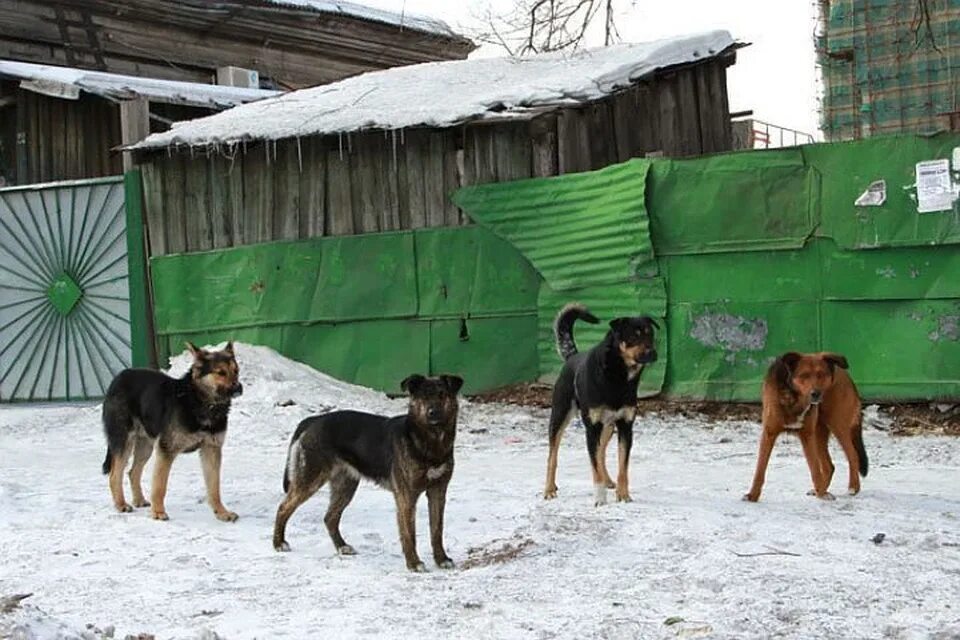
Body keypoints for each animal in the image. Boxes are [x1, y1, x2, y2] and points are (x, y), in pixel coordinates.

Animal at [100, 340, 244, 520]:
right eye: (221, 373)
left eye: (236, 371)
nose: (239, 388)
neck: (200, 401)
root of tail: (117, 379)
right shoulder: (166, 450)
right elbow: (160, 485)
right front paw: (158, 512)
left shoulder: (211, 449)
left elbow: (214, 487)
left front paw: (222, 512)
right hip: (124, 441)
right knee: (115, 475)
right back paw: (121, 505)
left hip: (145, 446)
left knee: (133, 472)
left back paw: (139, 500)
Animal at [272, 372, 464, 572]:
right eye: (423, 396)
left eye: (442, 395)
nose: (432, 412)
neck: (430, 441)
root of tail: (313, 420)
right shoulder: (406, 496)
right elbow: (409, 534)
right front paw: (413, 563)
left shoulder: (438, 491)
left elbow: (437, 530)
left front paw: (441, 559)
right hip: (310, 480)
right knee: (283, 507)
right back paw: (279, 543)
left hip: (345, 486)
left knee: (329, 517)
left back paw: (342, 546)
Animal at [544, 302, 656, 508]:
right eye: (634, 336)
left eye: (650, 334)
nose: (652, 353)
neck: (618, 377)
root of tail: (572, 357)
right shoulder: (592, 428)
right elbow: (593, 466)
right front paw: (600, 500)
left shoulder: (625, 426)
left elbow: (622, 466)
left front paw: (623, 495)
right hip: (560, 417)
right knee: (552, 456)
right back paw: (548, 489)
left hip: (608, 427)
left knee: (601, 452)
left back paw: (608, 481)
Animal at [744, 352, 872, 502]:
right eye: (804, 375)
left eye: (821, 374)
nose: (816, 393)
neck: (794, 399)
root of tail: (846, 375)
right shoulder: (769, 434)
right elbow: (760, 470)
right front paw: (752, 495)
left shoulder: (807, 436)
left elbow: (815, 469)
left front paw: (822, 494)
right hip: (819, 433)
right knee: (829, 466)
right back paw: (822, 490)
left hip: (837, 426)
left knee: (853, 455)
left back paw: (852, 487)